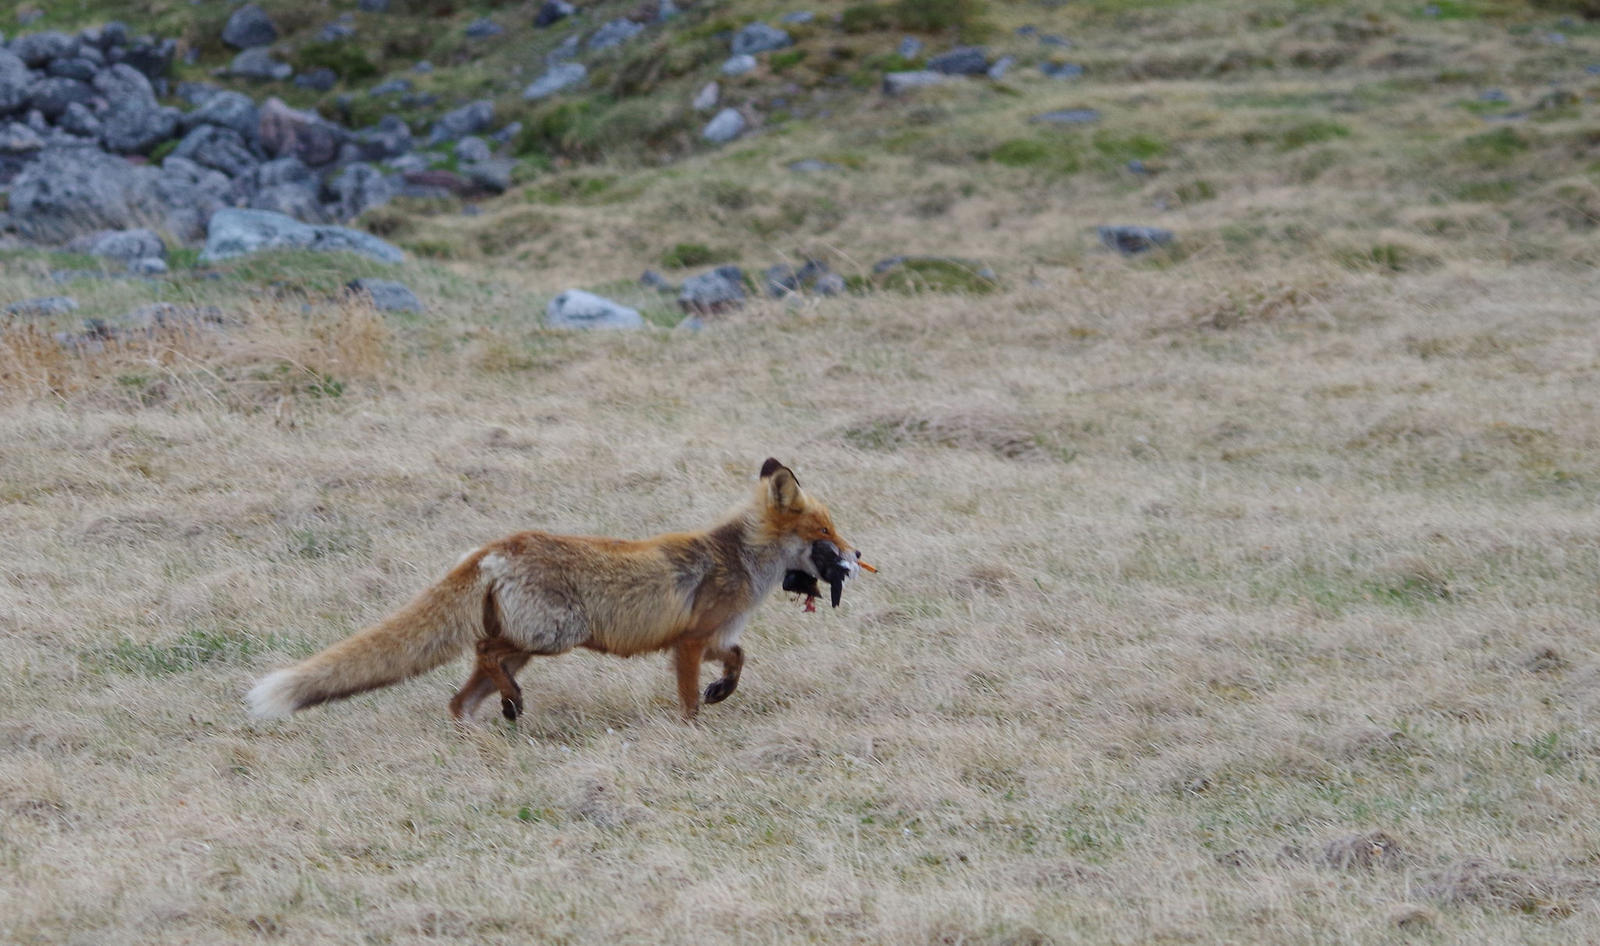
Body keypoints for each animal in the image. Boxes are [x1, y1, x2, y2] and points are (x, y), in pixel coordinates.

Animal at [243, 457, 870, 726]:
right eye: (826, 532)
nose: (857, 554)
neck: (739, 561)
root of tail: (496, 546)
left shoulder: (715, 637)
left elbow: (739, 660)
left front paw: (722, 693)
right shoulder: (688, 643)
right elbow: (692, 697)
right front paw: (696, 726)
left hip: (529, 642)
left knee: (461, 694)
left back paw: (490, 724)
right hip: (553, 635)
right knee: (484, 654)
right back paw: (512, 704)